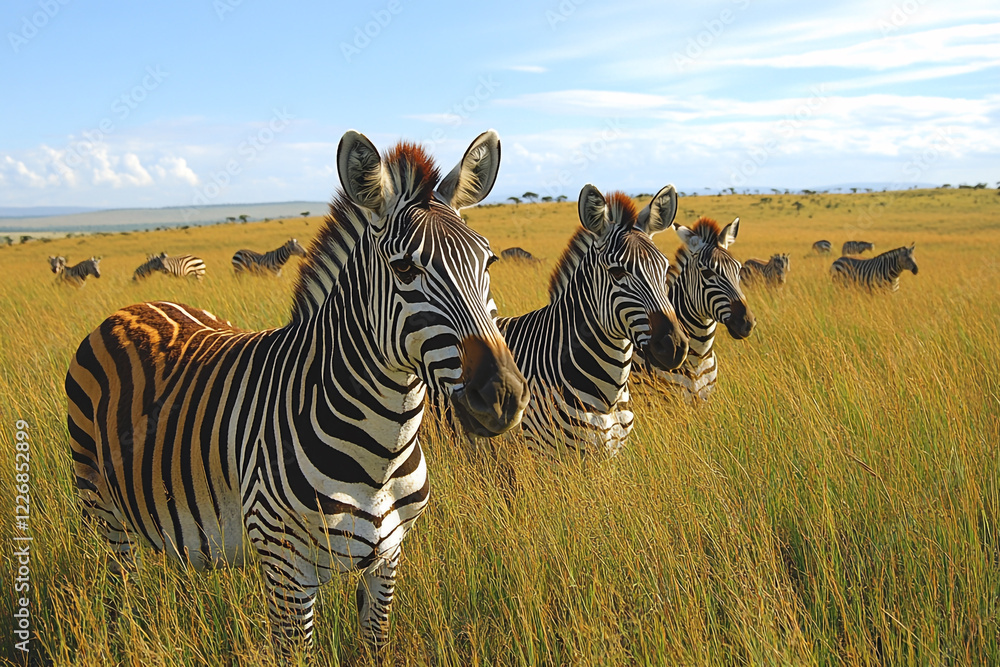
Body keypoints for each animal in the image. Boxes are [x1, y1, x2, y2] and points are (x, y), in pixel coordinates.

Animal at [65, 130, 529, 653]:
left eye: (488, 261)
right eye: (405, 270)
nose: (503, 396)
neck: (382, 453)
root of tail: (130, 308)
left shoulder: (388, 558)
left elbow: (374, 643)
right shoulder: (288, 569)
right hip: (102, 510)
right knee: (117, 589)